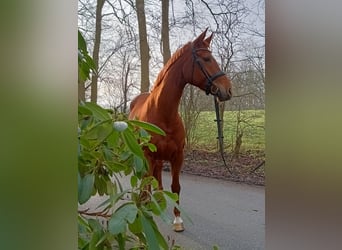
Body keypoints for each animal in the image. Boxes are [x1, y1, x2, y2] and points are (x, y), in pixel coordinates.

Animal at [130, 29, 234, 232]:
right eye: (206, 58)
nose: (228, 90)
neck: (163, 114)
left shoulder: (178, 156)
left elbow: (175, 186)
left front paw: (178, 220)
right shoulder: (148, 155)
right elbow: (147, 183)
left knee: (157, 177)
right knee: (147, 179)